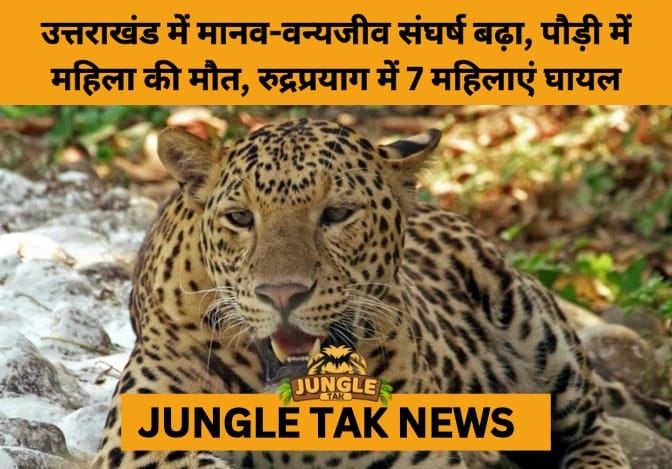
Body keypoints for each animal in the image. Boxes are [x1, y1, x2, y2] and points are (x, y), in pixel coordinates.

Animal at [93, 117, 646, 469]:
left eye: (337, 214)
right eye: (240, 218)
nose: (282, 295)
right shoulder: (145, 443)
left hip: (532, 323)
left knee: (596, 428)